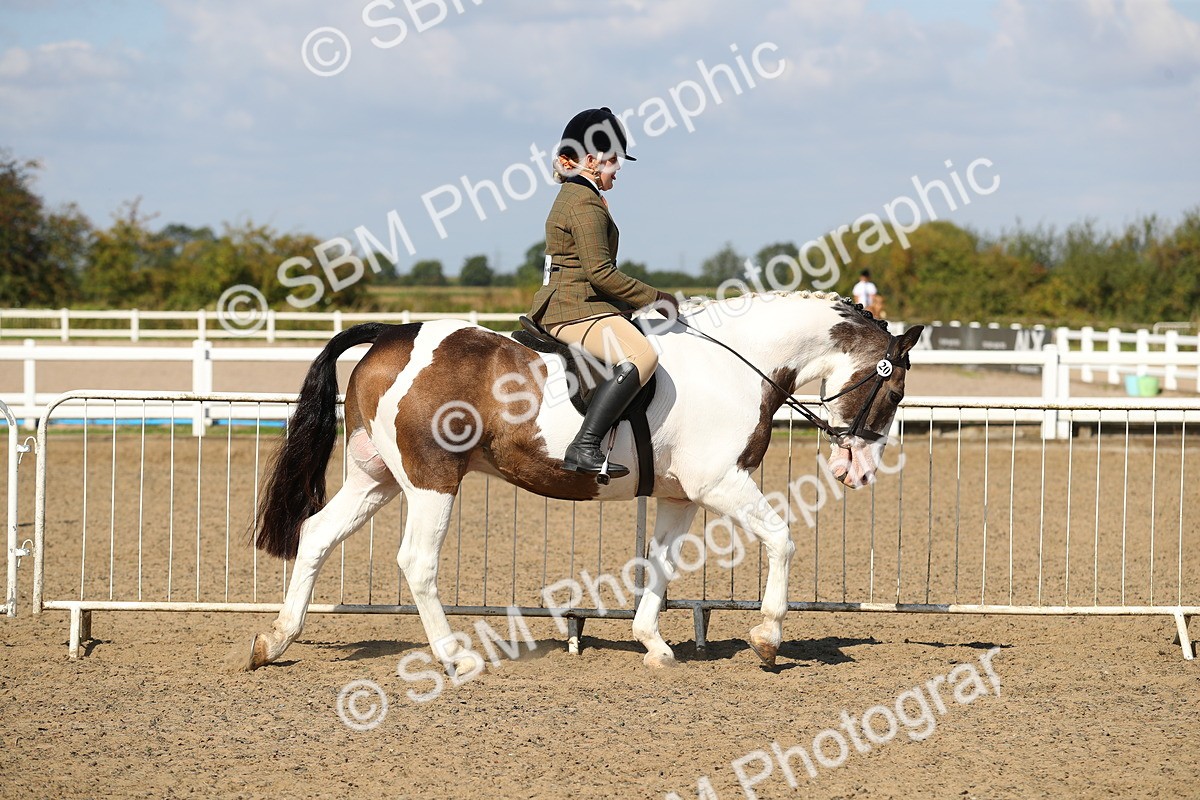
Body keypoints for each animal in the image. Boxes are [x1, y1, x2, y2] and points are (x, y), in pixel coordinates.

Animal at [243, 290, 922, 673]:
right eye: (893, 392)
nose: (858, 471)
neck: (735, 363)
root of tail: (392, 334)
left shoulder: (680, 496)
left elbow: (661, 565)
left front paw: (653, 645)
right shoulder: (721, 485)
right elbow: (781, 539)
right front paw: (767, 638)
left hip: (377, 478)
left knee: (316, 534)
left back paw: (275, 641)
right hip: (430, 479)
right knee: (416, 561)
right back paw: (455, 656)